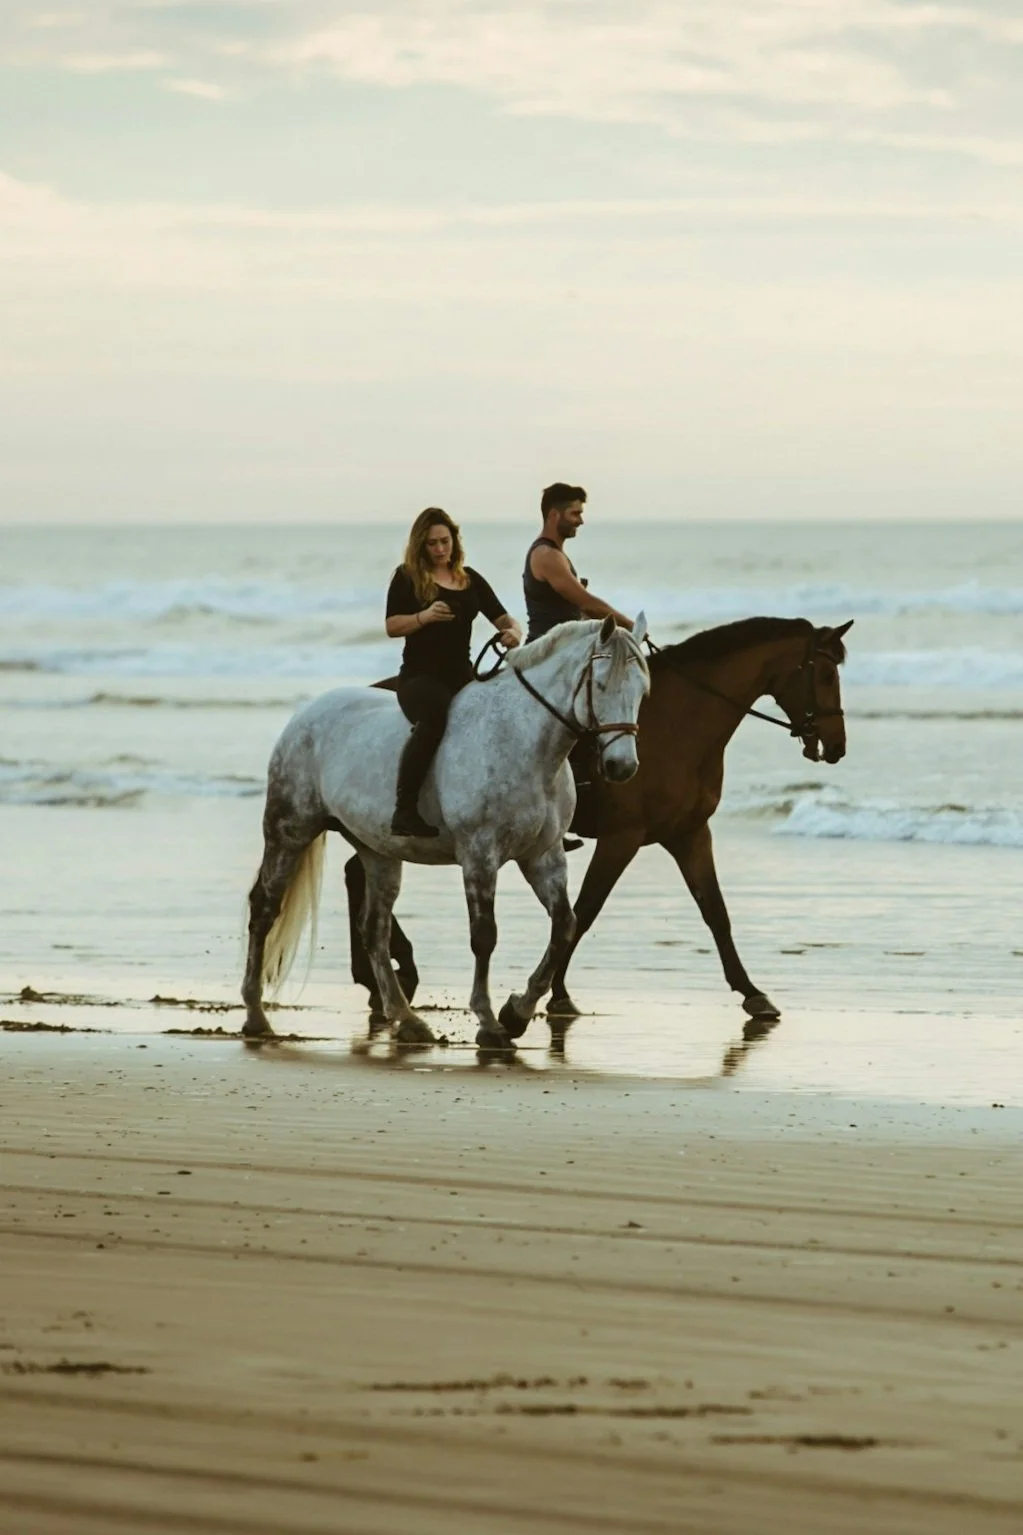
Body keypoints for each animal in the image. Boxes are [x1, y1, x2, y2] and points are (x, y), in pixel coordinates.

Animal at [241, 613, 650, 1050]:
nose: (622, 766)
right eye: (601, 684)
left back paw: (407, 1020)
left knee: (374, 930)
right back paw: (255, 1016)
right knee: (264, 908)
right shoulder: (479, 854)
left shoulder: (543, 856)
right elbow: (484, 935)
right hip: (289, 830)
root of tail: (305, 716)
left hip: (378, 851)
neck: (523, 741)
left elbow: (564, 926)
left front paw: (517, 1013)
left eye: (642, 690)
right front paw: (489, 1022)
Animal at [343, 615, 851, 1031]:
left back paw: (382, 976)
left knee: (355, 874)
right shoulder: (622, 838)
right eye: (826, 675)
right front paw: (551, 995)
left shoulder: (688, 833)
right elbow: (585, 912)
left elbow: (715, 913)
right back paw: (389, 975)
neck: (681, 725)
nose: (836, 744)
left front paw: (753, 994)